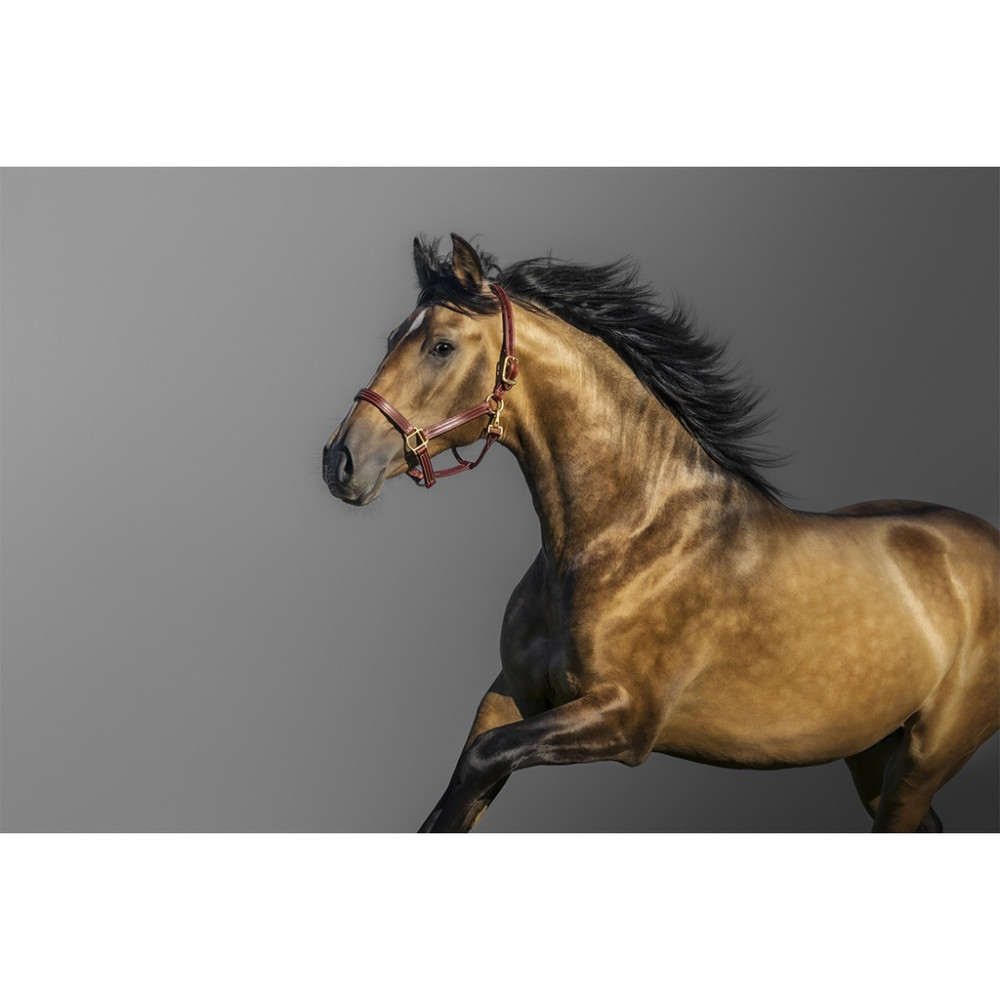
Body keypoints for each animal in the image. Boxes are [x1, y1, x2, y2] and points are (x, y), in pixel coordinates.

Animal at [323, 234, 999, 833]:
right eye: (393, 338)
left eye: (440, 346)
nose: (341, 461)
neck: (625, 536)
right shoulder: (511, 694)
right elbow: (459, 789)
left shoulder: (624, 718)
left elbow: (479, 762)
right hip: (869, 751)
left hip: (925, 757)